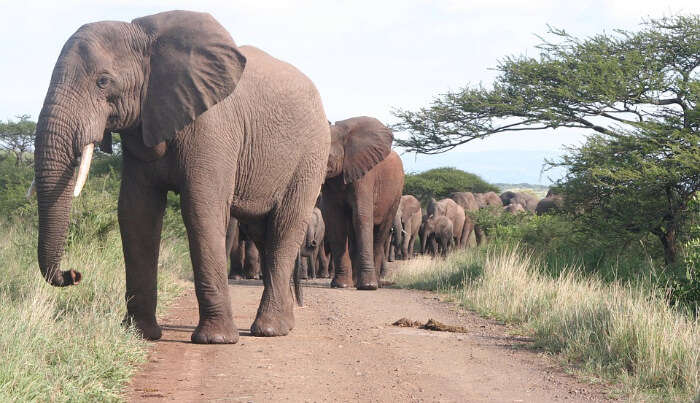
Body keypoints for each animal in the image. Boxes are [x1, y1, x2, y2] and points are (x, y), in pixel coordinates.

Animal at [320, 117, 402, 290]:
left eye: (327, 156)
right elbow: (334, 220)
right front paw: (341, 285)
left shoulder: (365, 175)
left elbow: (362, 216)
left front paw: (368, 286)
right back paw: (355, 282)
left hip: (396, 194)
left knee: (379, 235)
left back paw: (374, 283)